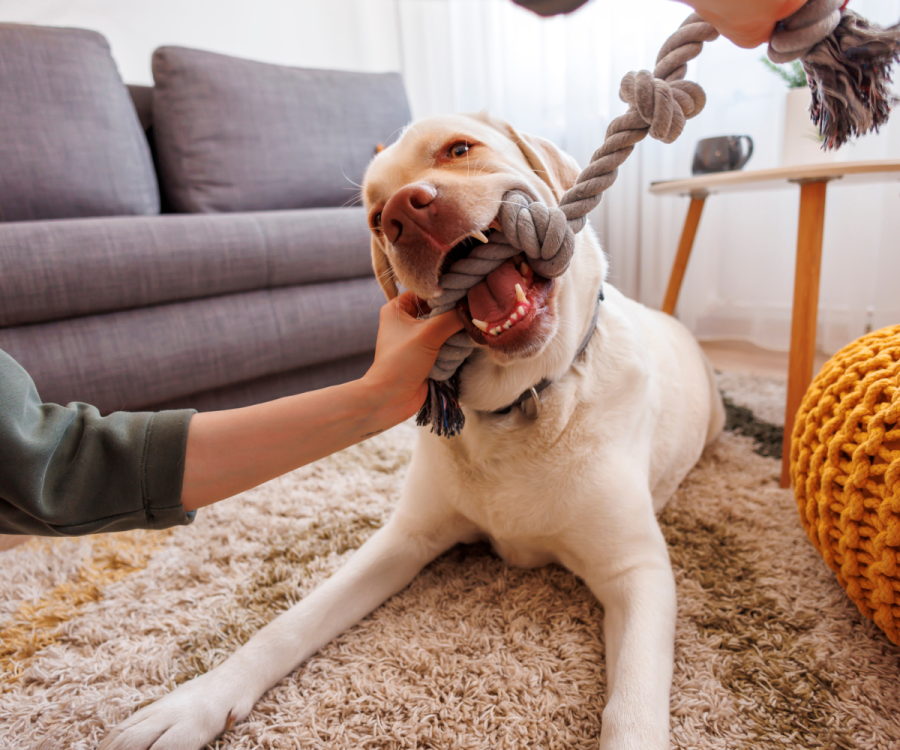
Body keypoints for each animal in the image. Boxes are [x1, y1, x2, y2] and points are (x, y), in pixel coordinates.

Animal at [103, 113, 724, 750]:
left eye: (458, 149)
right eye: (377, 219)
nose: (406, 211)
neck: (523, 402)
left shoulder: (638, 572)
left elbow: (632, 709)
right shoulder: (405, 537)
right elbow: (291, 622)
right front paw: (196, 702)